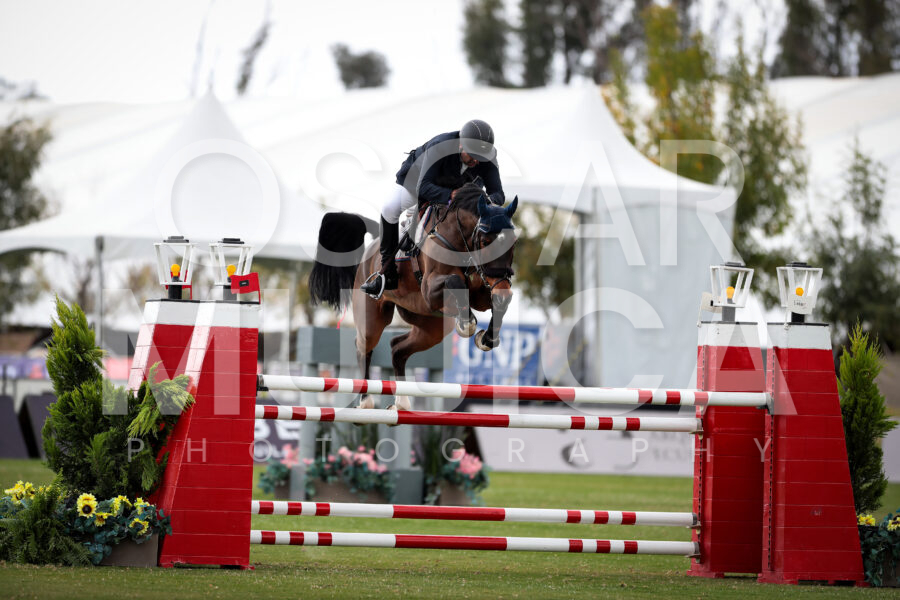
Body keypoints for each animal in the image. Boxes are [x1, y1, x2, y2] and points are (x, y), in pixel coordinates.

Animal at [309, 182, 518, 410]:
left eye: (513, 243)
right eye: (485, 241)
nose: (502, 286)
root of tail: (372, 247)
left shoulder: (483, 290)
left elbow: (498, 303)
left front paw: (487, 338)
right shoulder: (429, 290)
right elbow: (455, 282)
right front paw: (467, 323)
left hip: (430, 327)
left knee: (397, 348)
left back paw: (402, 403)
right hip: (373, 318)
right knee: (363, 346)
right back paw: (366, 401)